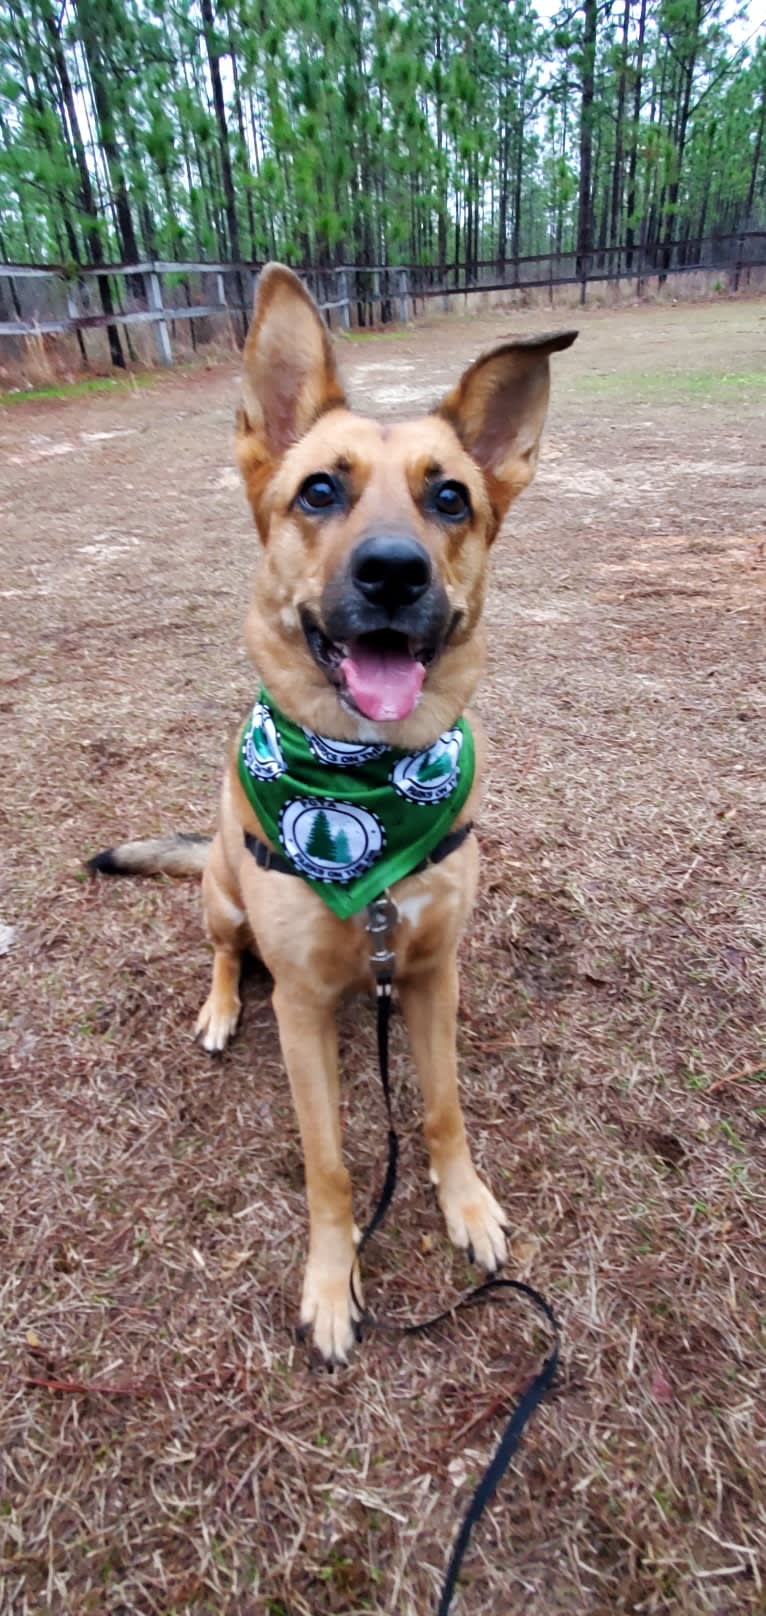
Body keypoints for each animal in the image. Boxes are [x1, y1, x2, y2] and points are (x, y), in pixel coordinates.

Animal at [88, 265, 575, 1363]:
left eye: (450, 496)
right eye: (320, 489)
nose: (394, 571)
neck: (365, 777)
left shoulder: (432, 973)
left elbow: (440, 1108)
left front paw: (465, 1205)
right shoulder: (302, 1010)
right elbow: (332, 1164)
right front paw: (331, 1278)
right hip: (223, 897)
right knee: (226, 955)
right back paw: (222, 1007)